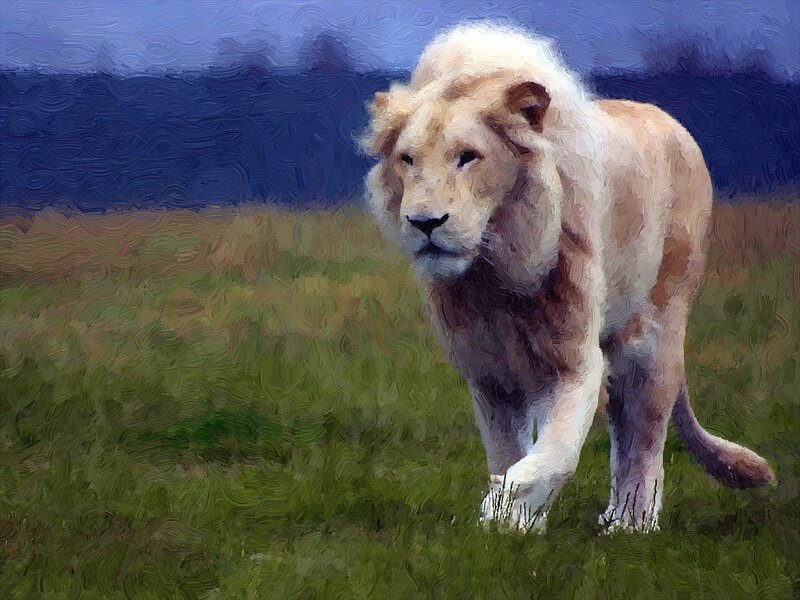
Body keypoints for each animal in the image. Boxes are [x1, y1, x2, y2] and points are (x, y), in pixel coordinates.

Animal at [363, 23, 774, 532]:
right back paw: (614, 515)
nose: (424, 222)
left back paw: (632, 524)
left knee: (646, 430)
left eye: (467, 157)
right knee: (624, 423)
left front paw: (507, 500)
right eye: (407, 160)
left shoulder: (575, 359)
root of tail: (668, 120)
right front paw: (512, 524)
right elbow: (506, 449)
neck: (494, 270)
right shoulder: (488, 373)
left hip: (658, 329)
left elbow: (556, 451)